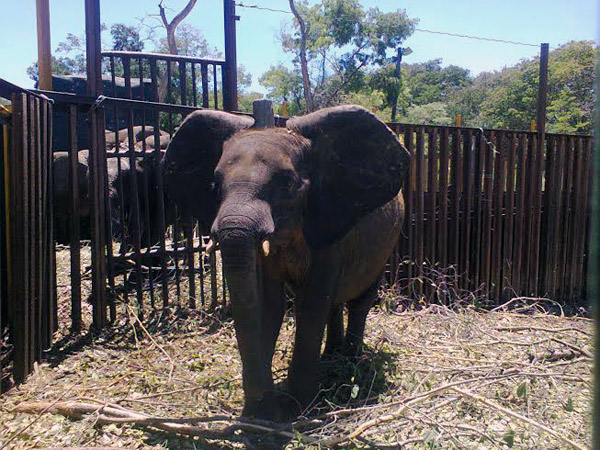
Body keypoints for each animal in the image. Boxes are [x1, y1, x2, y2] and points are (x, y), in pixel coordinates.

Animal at [162, 104, 410, 418]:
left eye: (288, 185)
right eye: (215, 185)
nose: (262, 402)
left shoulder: (328, 225)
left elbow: (311, 304)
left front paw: (298, 409)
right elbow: (269, 303)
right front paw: (263, 413)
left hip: (388, 242)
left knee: (359, 301)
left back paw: (350, 362)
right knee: (334, 302)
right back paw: (331, 356)